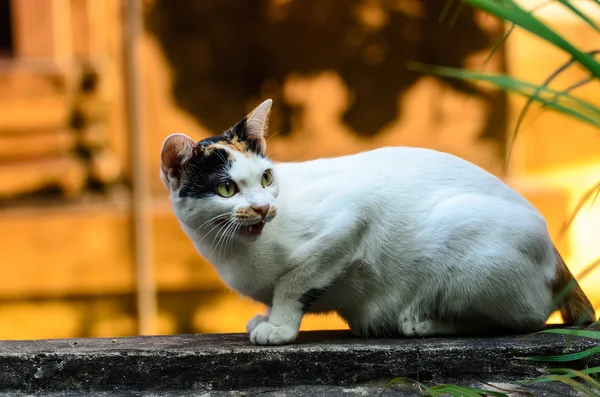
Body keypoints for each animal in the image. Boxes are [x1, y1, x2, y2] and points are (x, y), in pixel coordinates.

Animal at [161, 98, 596, 344]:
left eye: (266, 178)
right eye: (227, 189)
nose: (265, 208)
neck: (235, 249)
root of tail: (554, 253)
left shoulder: (352, 217)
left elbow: (293, 284)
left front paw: (279, 326)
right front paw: (267, 317)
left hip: (466, 252)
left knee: (524, 319)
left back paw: (424, 324)